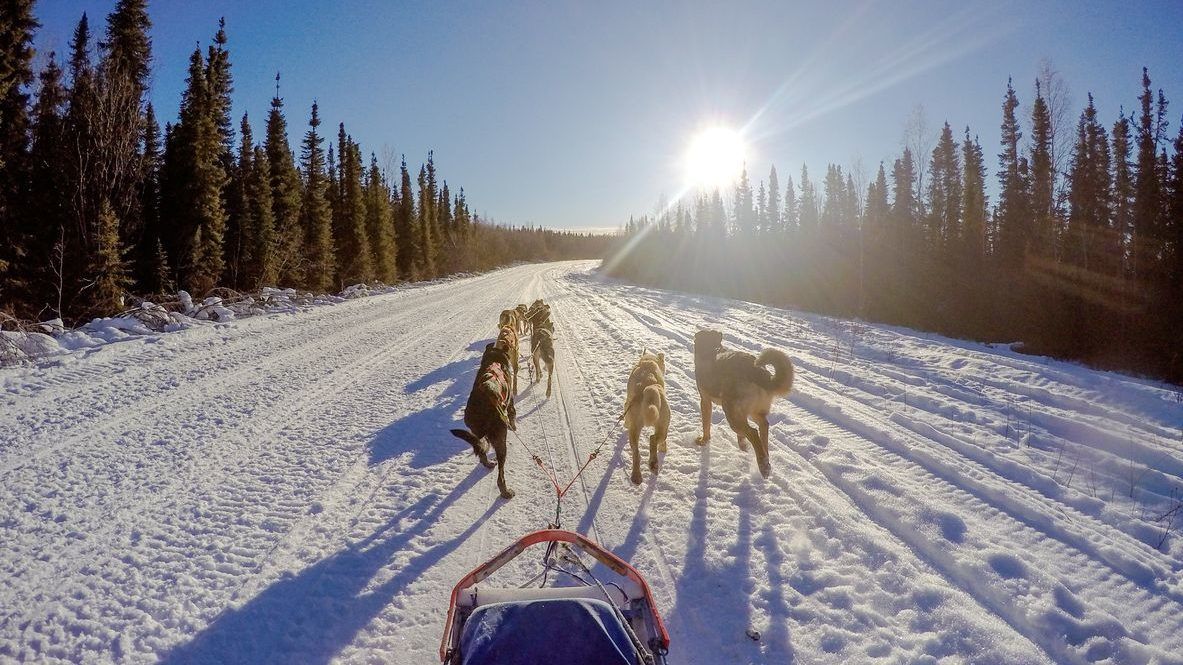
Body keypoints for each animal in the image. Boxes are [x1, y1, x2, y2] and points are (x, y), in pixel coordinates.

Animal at [624, 350, 671, 485]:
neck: (648, 361)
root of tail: (651, 389)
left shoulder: (626, 405)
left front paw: (624, 424)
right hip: (663, 425)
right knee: (653, 439)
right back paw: (652, 465)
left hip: (634, 428)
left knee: (637, 451)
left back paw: (637, 476)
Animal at [690, 326, 794, 475]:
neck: (711, 349)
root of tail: (757, 371)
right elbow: (741, 436)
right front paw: (742, 444)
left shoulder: (705, 401)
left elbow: (706, 425)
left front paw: (704, 440)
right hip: (753, 412)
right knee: (763, 427)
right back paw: (764, 458)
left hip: (731, 413)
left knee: (753, 432)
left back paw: (763, 466)